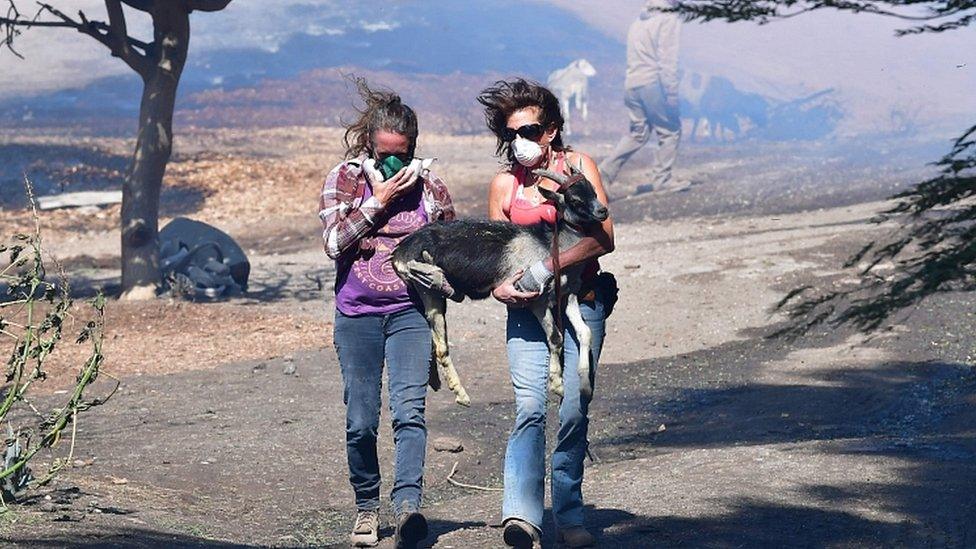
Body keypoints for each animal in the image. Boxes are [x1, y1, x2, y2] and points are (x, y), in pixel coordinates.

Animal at [390, 165, 608, 404]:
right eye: (575, 200)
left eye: (593, 190)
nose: (603, 212)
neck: (550, 246)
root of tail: (399, 253)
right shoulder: (536, 299)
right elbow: (555, 338)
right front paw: (558, 385)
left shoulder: (568, 295)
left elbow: (585, 332)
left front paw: (584, 386)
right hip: (424, 286)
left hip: (430, 295)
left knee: (440, 344)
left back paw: (458, 392)